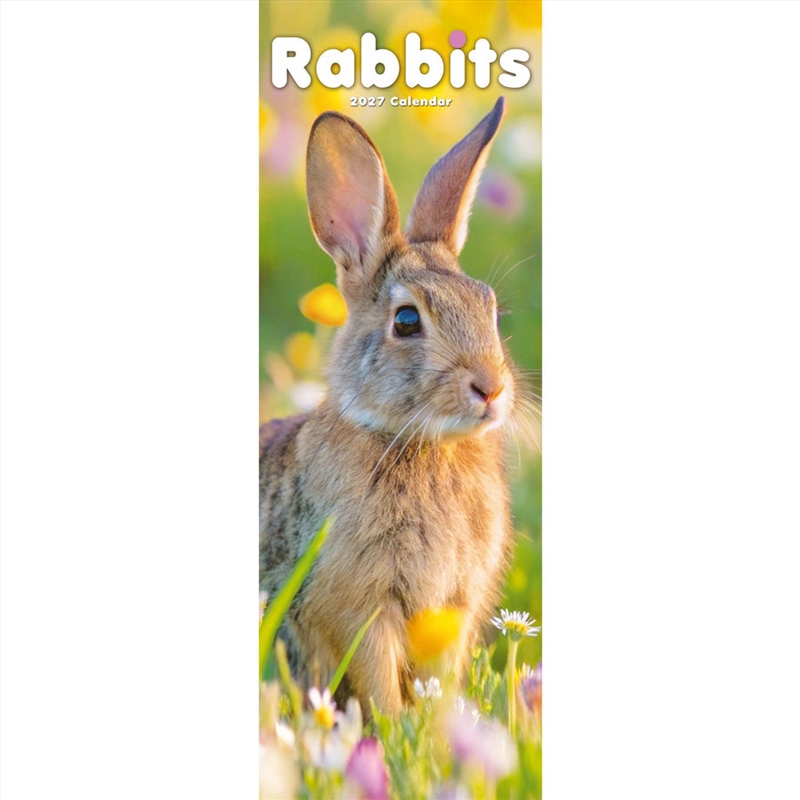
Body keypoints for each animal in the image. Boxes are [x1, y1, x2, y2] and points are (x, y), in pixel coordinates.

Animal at [260, 97, 519, 717]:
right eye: (405, 321)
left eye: (489, 309)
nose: (491, 388)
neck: (420, 443)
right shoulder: (361, 609)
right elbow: (379, 686)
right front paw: (398, 730)